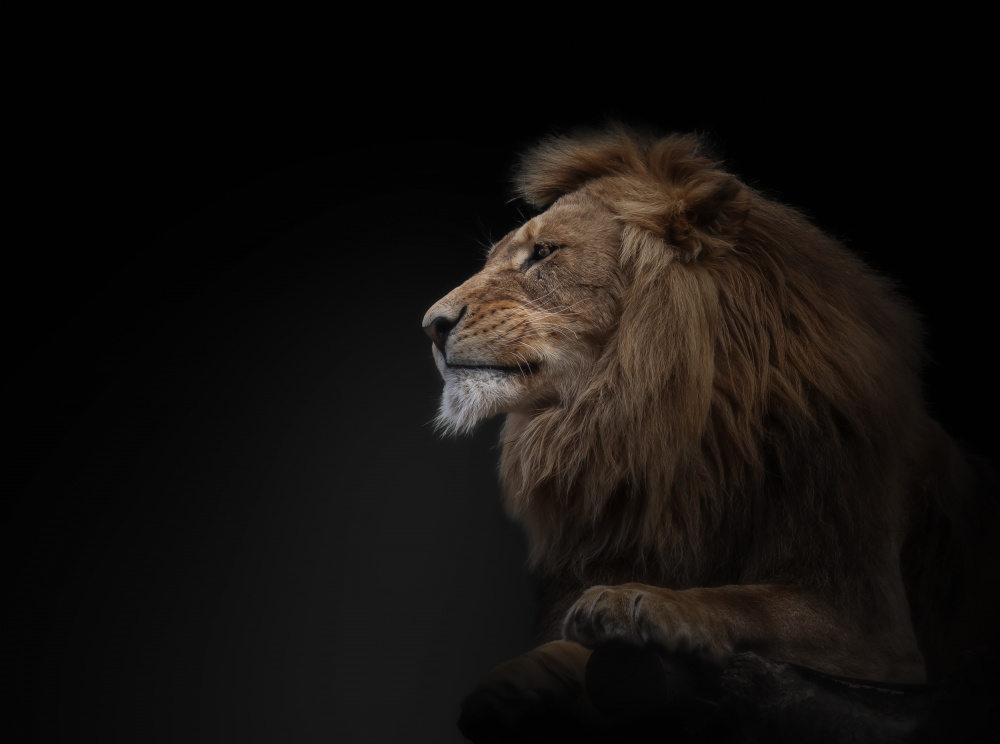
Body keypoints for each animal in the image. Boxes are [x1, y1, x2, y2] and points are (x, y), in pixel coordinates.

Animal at [422, 124, 999, 733]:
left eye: (544, 253)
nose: (431, 325)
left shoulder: (875, 634)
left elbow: (745, 602)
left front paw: (638, 602)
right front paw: (521, 680)